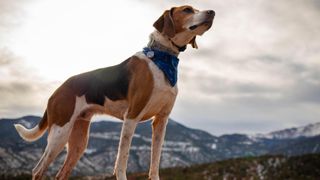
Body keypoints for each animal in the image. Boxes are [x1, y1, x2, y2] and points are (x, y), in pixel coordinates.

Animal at [13, 4, 214, 179]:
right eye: (187, 9)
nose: (212, 12)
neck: (162, 58)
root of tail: (56, 91)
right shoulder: (131, 117)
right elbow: (122, 159)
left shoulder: (161, 121)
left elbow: (155, 162)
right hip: (59, 134)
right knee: (37, 170)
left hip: (79, 140)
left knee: (60, 174)